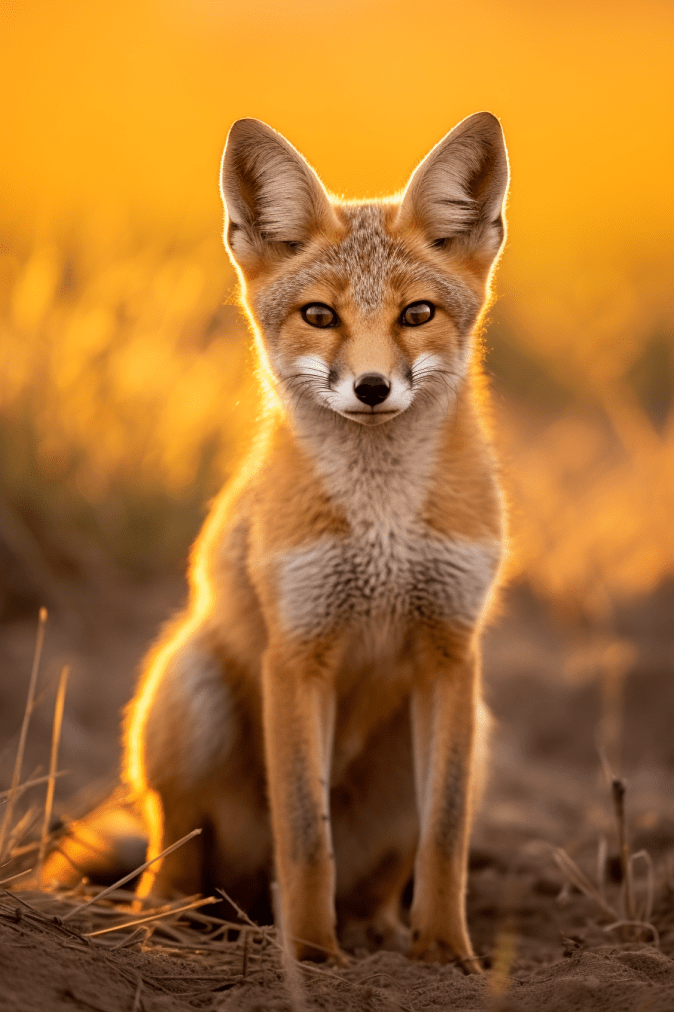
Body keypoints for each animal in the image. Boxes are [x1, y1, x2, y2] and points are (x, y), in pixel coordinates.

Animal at [44, 112, 509, 970]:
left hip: (472, 732)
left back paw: (377, 930)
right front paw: (314, 958)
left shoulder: (452, 651)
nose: (371, 389)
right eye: (320, 316)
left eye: (417, 314)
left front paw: (445, 956)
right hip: (187, 691)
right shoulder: (298, 653)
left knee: (379, 870)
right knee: (176, 856)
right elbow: (304, 834)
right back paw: (171, 926)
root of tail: (240, 899)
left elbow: (446, 836)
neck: (381, 524)